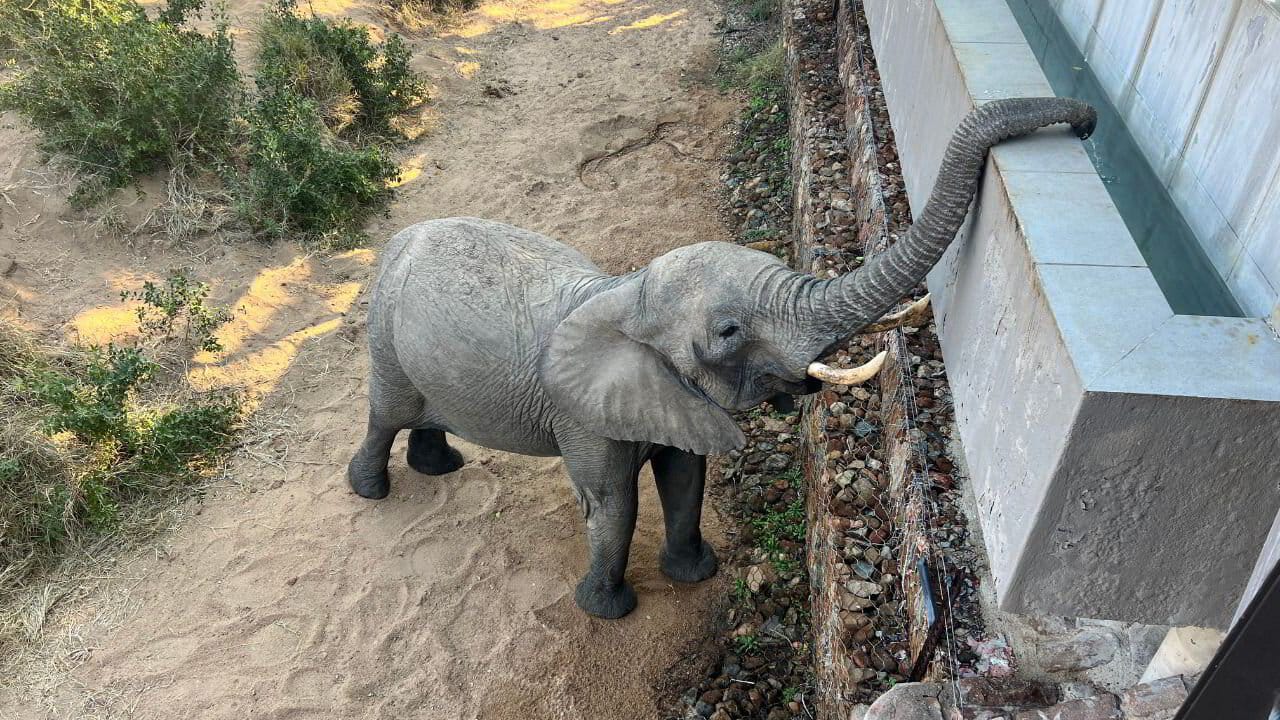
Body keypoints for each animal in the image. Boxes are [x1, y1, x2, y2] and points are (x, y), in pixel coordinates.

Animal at [347, 97, 1096, 618]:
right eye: (730, 331)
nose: (1087, 124)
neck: (626, 293)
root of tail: (402, 237)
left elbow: (686, 477)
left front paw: (695, 573)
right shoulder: (582, 412)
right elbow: (614, 502)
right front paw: (608, 611)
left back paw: (441, 465)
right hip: (385, 332)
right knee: (386, 411)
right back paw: (375, 489)